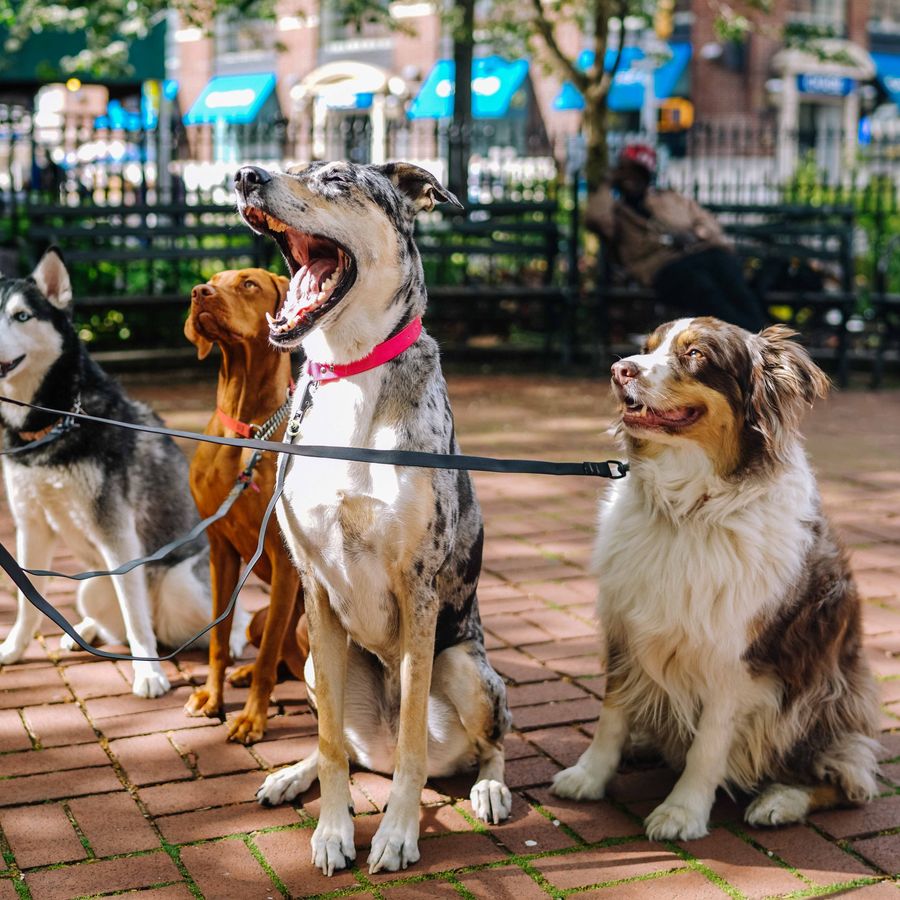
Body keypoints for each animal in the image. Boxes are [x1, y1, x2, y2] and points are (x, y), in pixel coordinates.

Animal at [0, 250, 246, 700]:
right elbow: (29, 602)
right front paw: (14, 648)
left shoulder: (117, 531)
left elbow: (135, 616)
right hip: (90, 587)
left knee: (229, 614)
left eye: (22, 316)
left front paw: (148, 673)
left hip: (180, 584)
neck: (57, 421)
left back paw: (231, 639)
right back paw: (83, 630)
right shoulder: (31, 526)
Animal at [183, 268, 310, 744]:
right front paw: (212, 696)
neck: (245, 431)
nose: (199, 293)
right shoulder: (219, 548)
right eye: (211, 280)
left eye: (249, 284)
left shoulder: (284, 562)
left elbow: (270, 654)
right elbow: (219, 639)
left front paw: (252, 719)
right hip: (256, 617)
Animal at [234, 158, 512, 876]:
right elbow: (332, 744)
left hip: (466, 668)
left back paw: (490, 788)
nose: (245, 174)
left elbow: (414, 741)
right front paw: (334, 831)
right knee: (346, 745)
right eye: (289, 163)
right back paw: (292, 775)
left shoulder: (418, 590)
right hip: (311, 662)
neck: (350, 372)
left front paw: (396, 834)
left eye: (336, 179)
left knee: (489, 743)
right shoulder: (315, 587)